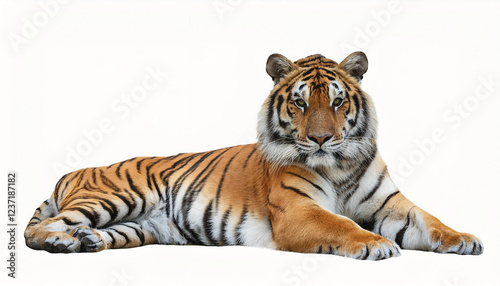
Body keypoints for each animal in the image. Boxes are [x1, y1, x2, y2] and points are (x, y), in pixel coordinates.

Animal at [25, 51, 482, 260]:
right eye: (299, 103)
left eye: (337, 103)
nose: (320, 139)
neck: (339, 165)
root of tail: (72, 173)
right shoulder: (298, 211)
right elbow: (341, 224)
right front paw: (377, 244)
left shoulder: (392, 204)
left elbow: (431, 220)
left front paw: (465, 239)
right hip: (116, 196)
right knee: (39, 229)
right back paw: (62, 241)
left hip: (140, 226)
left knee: (98, 232)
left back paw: (87, 241)